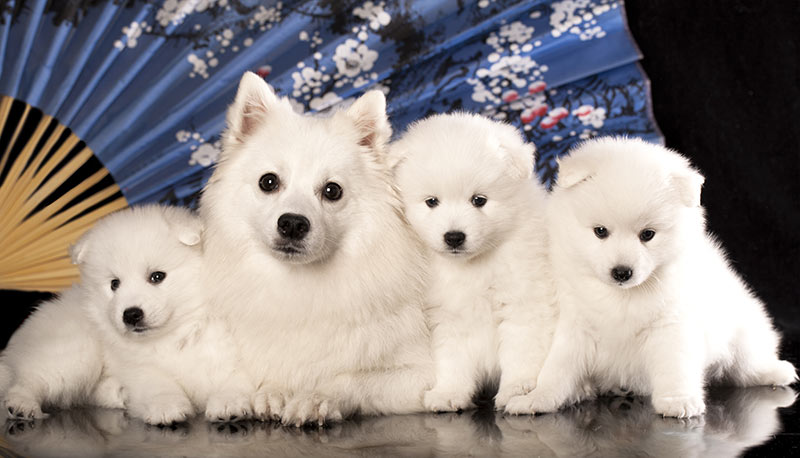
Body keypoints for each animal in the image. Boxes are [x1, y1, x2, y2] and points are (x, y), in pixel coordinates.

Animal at [1, 206, 253, 424]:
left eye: (157, 276)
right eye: (114, 284)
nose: (131, 314)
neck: (178, 332)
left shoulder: (233, 350)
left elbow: (235, 377)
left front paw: (229, 403)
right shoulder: (138, 366)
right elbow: (158, 382)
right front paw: (166, 407)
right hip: (75, 353)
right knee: (29, 380)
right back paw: (23, 405)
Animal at [203, 71, 434, 426]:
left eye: (332, 191)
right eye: (268, 182)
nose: (293, 224)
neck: (301, 284)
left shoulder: (420, 373)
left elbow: (351, 378)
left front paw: (316, 397)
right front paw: (270, 391)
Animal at [506, 137, 792, 418]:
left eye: (647, 235)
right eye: (600, 231)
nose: (622, 272)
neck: (621, 297)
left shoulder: (672, 324)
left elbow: (675, 365)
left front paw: (678, 400)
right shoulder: (576, 325)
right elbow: (557, 369)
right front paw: (537, 398)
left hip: (742, 335)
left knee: (749, 364)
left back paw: (778, 371)